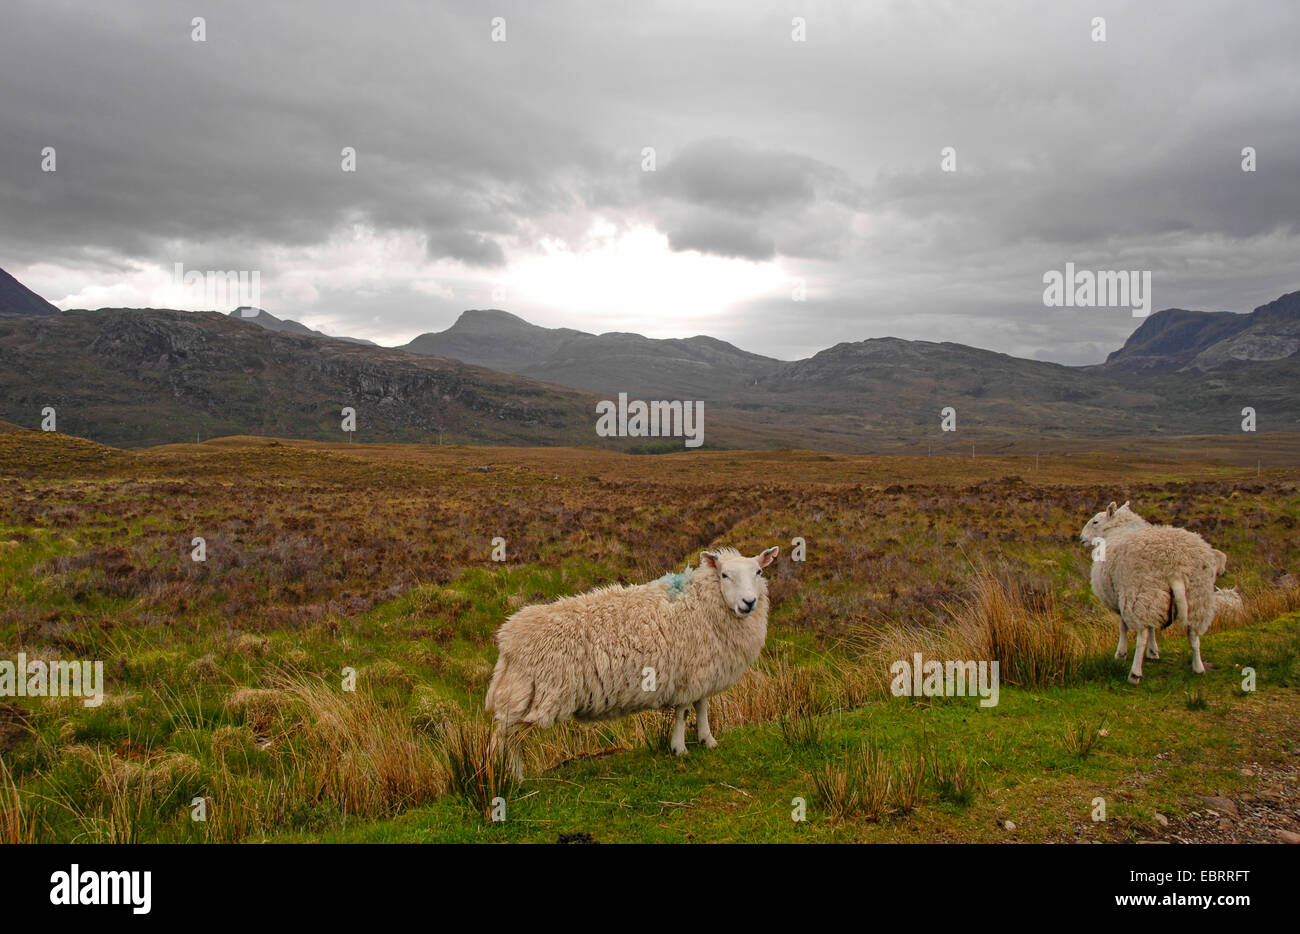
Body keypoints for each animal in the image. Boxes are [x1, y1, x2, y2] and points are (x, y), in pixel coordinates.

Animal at [483, 546, 774, 780]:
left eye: (759, 572)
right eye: (725, 575)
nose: (749, 602)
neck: (702, 603)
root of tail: (507, 638)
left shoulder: (703, 670)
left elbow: (702, 705)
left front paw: (707, 739)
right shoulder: (688, 675)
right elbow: (683, 712)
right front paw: (679, 748)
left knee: (511, 740)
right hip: (531, 695)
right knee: (504, 740)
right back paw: (510, 779)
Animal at [1081, 504, 1222, 686]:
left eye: (1095, 522)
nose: (1081, 538)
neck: (1117, 530)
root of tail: (1175, 565)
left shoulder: (1123, 598)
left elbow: (1124, 627)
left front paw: (1121, 653)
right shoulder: (1154, 601)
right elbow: (1153, 626)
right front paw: (1153, 651)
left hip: (1139, 592)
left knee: (1141, 635)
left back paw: (1134, 674)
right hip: (1195, 596)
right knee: (1193, 634)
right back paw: (1198, 667)